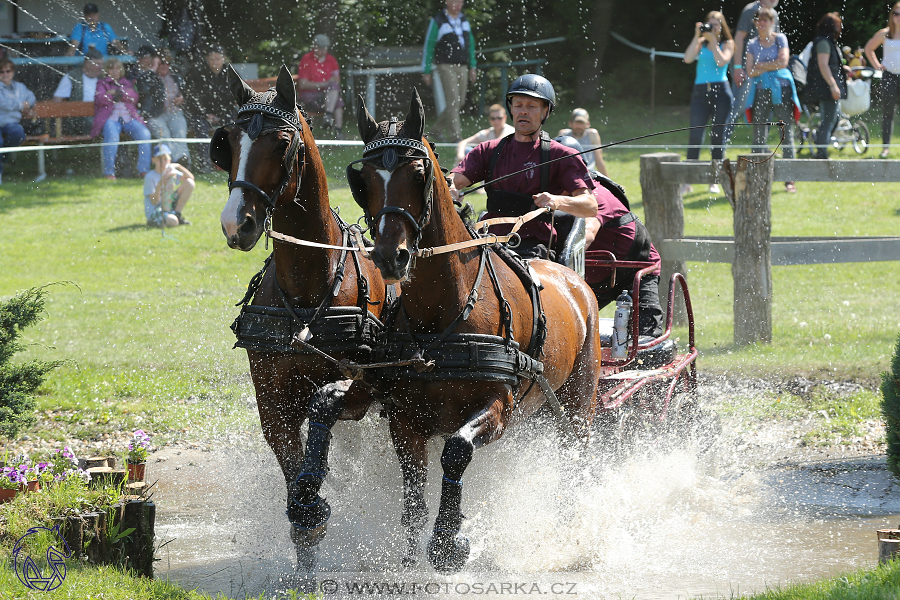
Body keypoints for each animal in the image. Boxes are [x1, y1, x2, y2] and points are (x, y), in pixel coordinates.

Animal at [215, 65, 394, 568]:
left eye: (281, 143)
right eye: (227, 142)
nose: (237, 223)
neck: (309, 286)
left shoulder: (360, 385)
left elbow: (325, 417)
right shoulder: (273, 404)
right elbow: (296, 485)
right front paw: (307, 544)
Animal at [352, 89, 604, 572]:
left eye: (418, 173)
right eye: (365, 179)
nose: (391, 256)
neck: (443, 313)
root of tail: (575, 281)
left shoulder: (497, 407)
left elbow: (456, 450)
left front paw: (448, 542)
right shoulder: (405, 417)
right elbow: (413, 492)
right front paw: (410, 556)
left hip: (577, 405)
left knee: (575, 456)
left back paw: (571, 530)